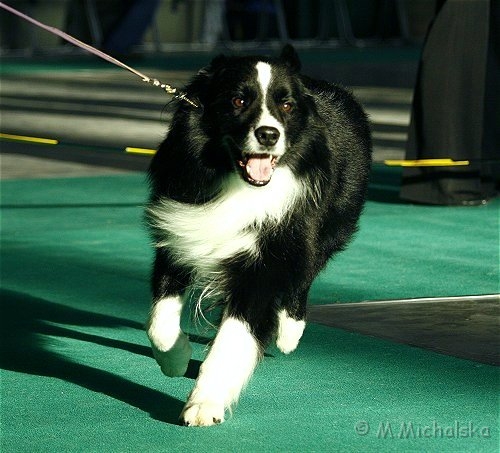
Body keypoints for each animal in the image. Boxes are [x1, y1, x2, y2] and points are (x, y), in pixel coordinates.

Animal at [145, 46, 372, 428]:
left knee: (305, 273)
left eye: (287, 106)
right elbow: (159, 324)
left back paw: (289, 332)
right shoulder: (178, 234)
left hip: (329, 226)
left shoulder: (264, 265)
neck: (236, 183)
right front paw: (176, 358)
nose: (268, 134)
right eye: (238, 100)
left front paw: (204, 404)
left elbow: (231, 340)